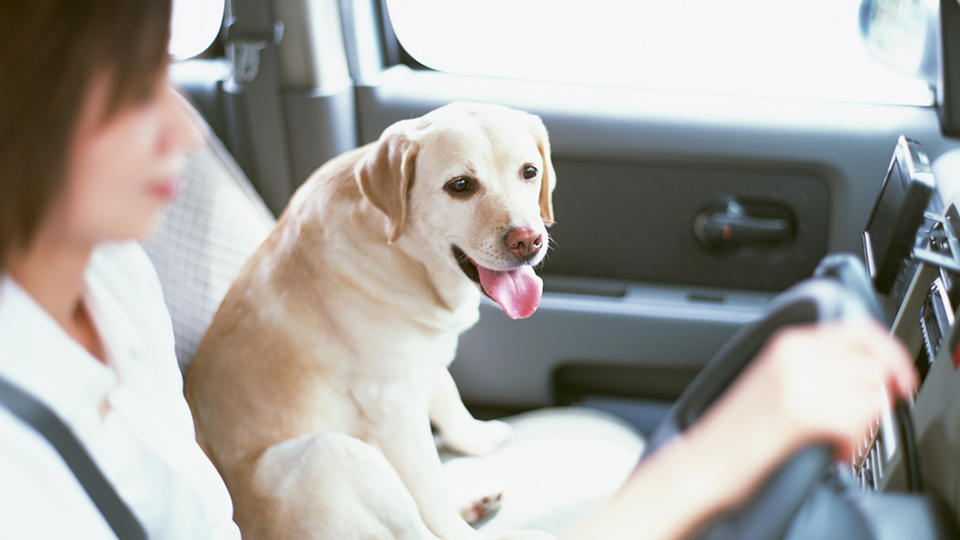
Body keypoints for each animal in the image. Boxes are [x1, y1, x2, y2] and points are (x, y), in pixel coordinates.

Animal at [188, 102, 560, 540]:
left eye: (529, 171)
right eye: (460, 186)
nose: (528, 240)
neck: (406, 253)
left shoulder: (424, 360)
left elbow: (448, 399)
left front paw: (477, 437)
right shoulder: (393, 406)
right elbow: (429, 492)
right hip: (333, 452)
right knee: (414, 526)